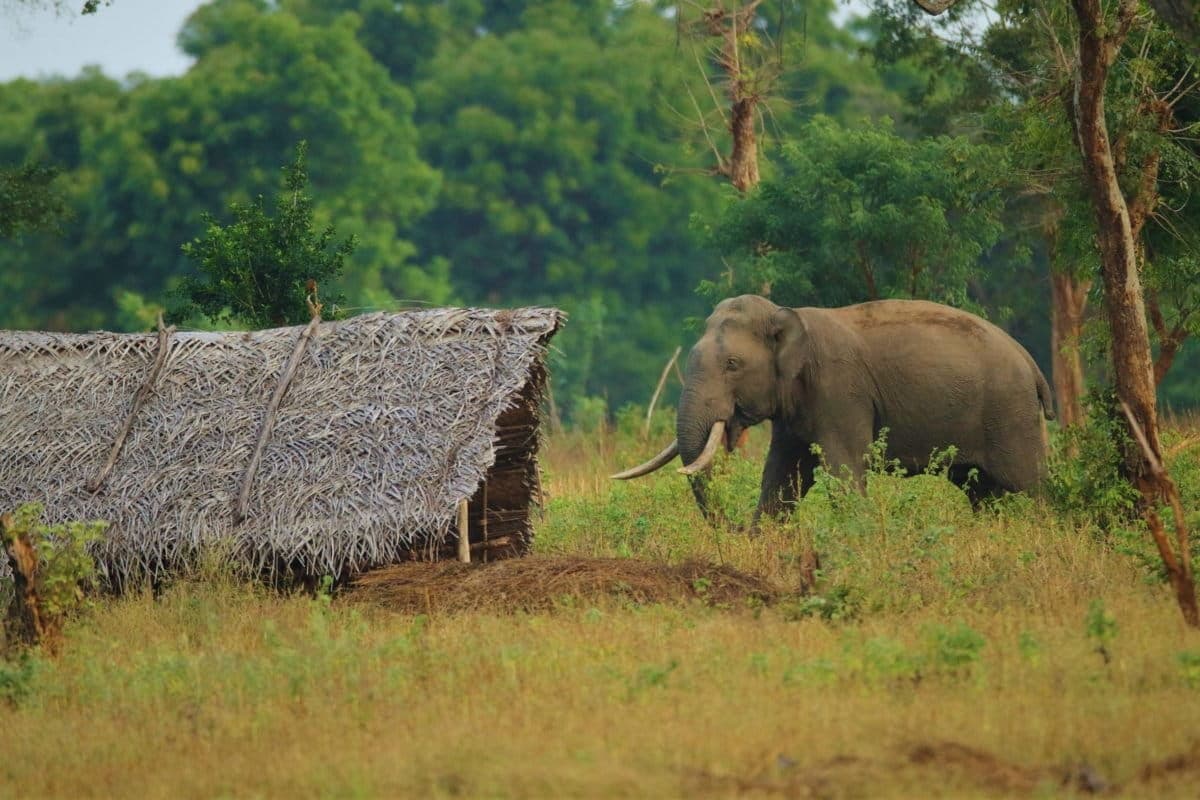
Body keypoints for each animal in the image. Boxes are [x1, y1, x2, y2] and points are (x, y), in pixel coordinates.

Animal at [613, 295, 1055, 522]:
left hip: (1010, 415)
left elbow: (843, 471)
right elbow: (784, 476)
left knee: (1029, 484)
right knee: (981, 490)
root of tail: (1031, 363)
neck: (786, 314)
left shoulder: (841, 391)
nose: (733, 529)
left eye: (732, 364)